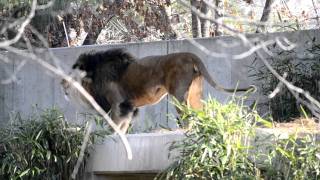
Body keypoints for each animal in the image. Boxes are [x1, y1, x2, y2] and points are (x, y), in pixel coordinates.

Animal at [61, 48, 254, 133]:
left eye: (70, 72)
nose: (62, 81)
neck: (92, 78)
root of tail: (190, 55)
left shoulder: (118, 103)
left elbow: (116, 123)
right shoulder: (130, 106)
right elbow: (123, 124)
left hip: (178, 93)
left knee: (187, 115)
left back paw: (185, 131)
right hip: (194, 94)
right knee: (201, 111)